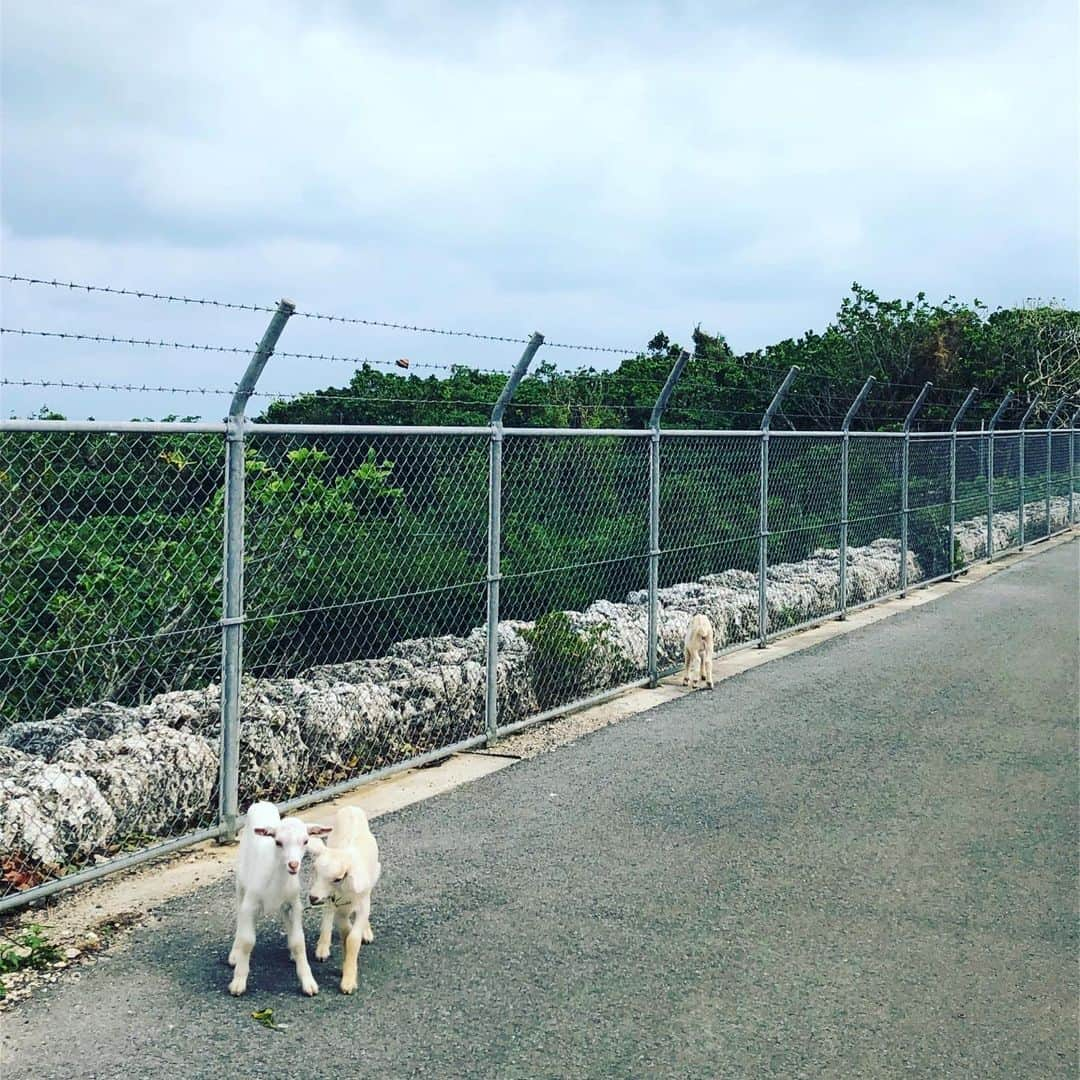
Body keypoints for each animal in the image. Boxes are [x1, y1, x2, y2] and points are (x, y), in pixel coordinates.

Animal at [226, 803, 328, 993]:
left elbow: (298, 941)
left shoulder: (294, 904)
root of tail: (261, 803)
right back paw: (235, 954)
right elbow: (247, 940)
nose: (293, 865)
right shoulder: (250, 904)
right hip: (241, 885)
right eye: (278, 842)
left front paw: (308, 982)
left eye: (306, 841)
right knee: (239, 918)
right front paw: (238, 982)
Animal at [308, 803, 380, 993]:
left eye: (337, 878)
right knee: (328, 912)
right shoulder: (338, 907)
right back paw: (323, 946)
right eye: (315, 870)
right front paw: (346, 970)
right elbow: (345, 934)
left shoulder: (361, 903)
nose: (312, 897)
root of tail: (351, 808)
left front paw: (347, 983)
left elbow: (353, 939)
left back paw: (366, 932)